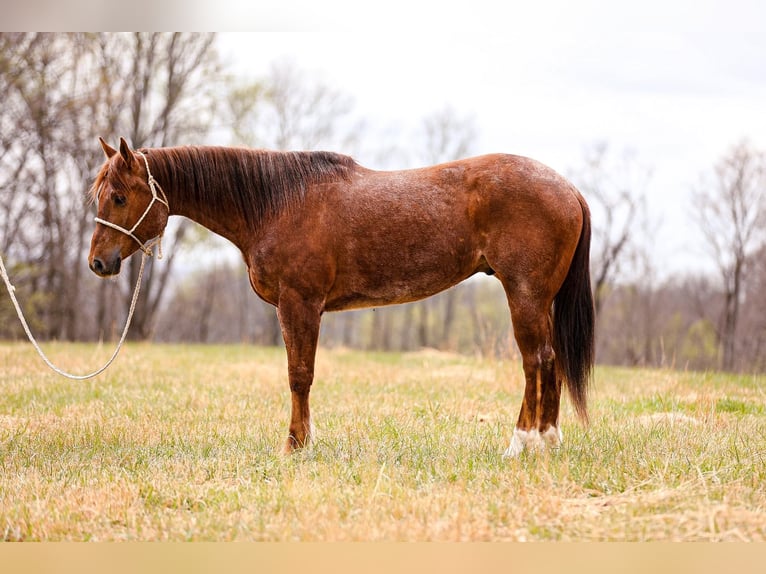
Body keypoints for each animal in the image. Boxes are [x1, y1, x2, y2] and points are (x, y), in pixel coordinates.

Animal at [88, 140, 592, 460]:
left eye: (119, 196)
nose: (98, 262)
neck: (275, 204)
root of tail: (568, 188)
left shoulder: (299, 304)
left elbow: (299, 376)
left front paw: (295, 445)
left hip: (523, 294)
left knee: (535, 360)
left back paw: (521, 443)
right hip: (540, 299)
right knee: (550, 361)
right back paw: (549, 441)